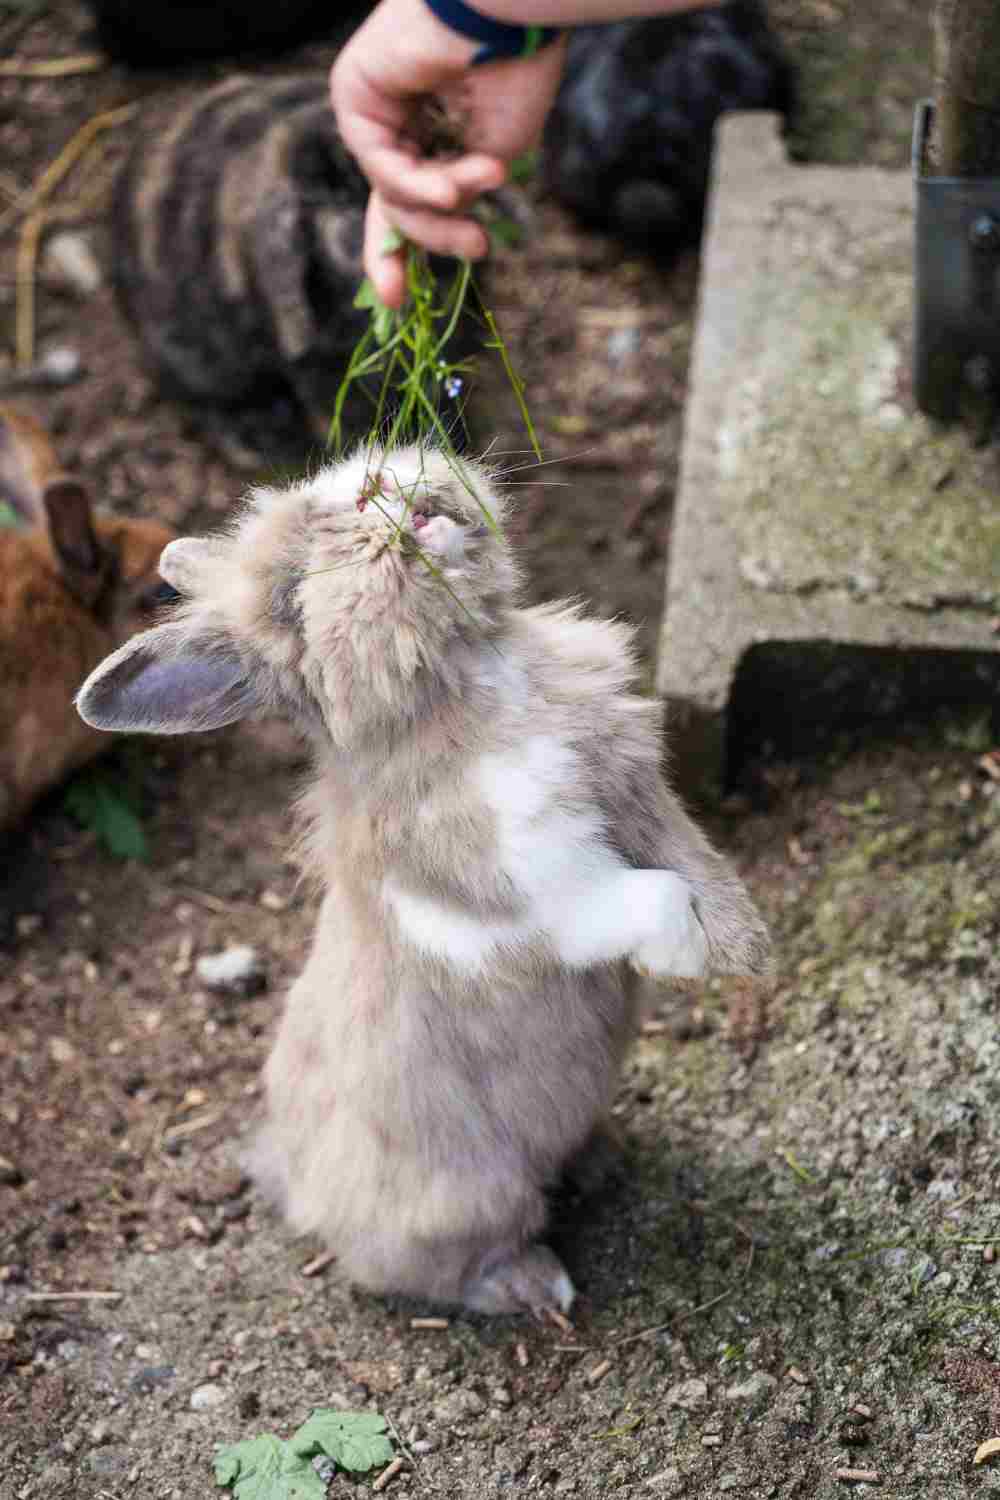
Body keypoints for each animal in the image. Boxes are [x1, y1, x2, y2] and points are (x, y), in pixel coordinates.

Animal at [78, 450, 773, 1320]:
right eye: (293, 592)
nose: (377, 489)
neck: (468, 672)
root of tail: (303, 1195)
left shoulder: (638, 794)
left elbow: (692, 859)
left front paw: (749, 947)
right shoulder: (552, 891)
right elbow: (654, 897)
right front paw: (689, 959)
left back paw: (602, 1159)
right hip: (472, 1202)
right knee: (434, 1271)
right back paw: (535, 1282)